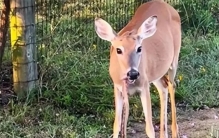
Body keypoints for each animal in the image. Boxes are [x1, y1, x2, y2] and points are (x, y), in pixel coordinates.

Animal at [94, 0, 181, 138]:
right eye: (118, 50)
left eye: (139, 48)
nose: (133, 73)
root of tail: (166, 4)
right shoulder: (117, 87)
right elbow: (116, 125)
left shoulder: (144, 86)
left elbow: (149, 128)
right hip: (156, 72)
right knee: (164, 86)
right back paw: (164, 134)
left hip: (174, 59)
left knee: (172, 85)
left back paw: (175, 132)